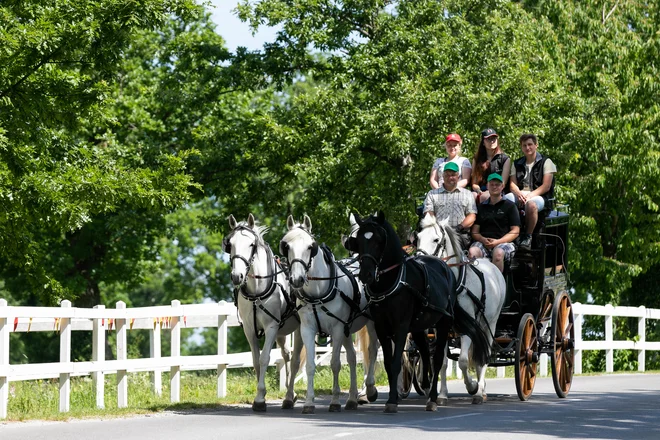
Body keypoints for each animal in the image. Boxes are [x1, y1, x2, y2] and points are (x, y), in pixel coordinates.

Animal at [223, 214, 302, 412]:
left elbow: (265, 358)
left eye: (251, 244)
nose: (237, 276)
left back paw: (289, 396)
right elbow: (255, 360)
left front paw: (260, 398)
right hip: (282, 333)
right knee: (286, 355)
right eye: (230, 244)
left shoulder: (271, 326)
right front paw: (260, 396)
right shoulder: (249, 329)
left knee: (295, 360)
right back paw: (290, 394)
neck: (257, 292)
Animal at [282, 215, 378, 414]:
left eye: (310, 246)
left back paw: (370, 389)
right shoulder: (308, 329)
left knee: (373, 350)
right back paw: (352, 399)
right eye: (286, 246)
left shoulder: (337, 329)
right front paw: (309, 403)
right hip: (347, 329)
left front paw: (334, 401)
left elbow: (335, 364)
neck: (319, 292)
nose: (297, 279)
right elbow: (310, 365)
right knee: (351, 358)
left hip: (371, 324)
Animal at [346, 212, 490, 412]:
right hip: (419, 327)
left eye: (379, 240)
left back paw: (436, 397)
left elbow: (396, 361)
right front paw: (391, 395)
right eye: (357, 240)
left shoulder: (401, 326)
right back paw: (427, 387)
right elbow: (389, 362)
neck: (393, 281)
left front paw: (392, 400)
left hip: (444, 323)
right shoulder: (382, 327)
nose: (365, 274)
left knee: (438, 360)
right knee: (424, 353)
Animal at [418, 214, 506, 406]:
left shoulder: (468, 327)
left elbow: (464, 361)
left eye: (436, 239)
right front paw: (442, 395)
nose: (419, 261)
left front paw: (472, 386)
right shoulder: (440, 328)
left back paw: (480, 391)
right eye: (418, 237)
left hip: (490, 324)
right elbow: (442, 362)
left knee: (484, 356)